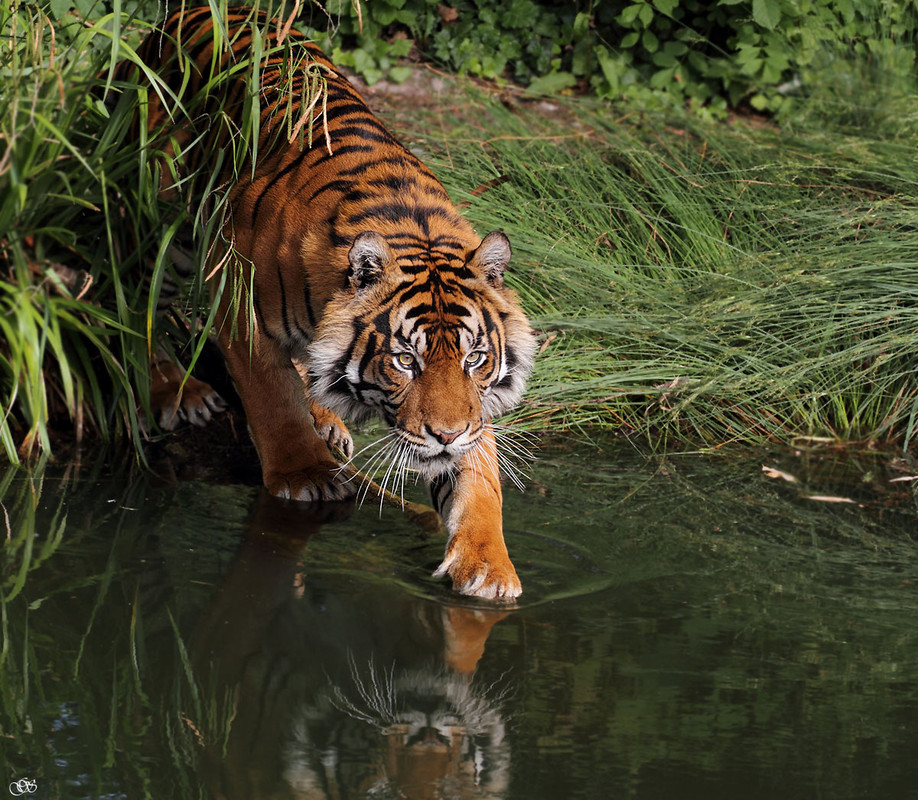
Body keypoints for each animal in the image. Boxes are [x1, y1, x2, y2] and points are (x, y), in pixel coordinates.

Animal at [124, 6, 537, 599]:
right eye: (405, 361)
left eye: (475, 359)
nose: (446, 435)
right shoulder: (239, 303)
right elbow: (271, 395)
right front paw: (306, 475)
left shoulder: (469, 412)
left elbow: (477, 476)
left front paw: (488, 568)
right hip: (163, 224)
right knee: (142, 299)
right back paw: (174, 391)